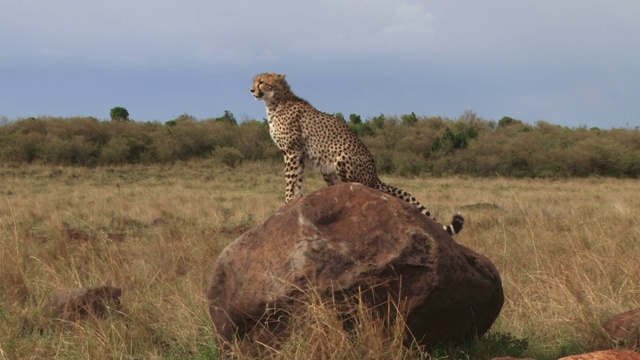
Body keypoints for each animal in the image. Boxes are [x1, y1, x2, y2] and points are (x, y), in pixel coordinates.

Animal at [251, 73, 464, 236]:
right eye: (255, 81)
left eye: (261, 81)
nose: (252, 90)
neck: (275, 102)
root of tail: (375, 175)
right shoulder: (298, 155)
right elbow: (297, 182)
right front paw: (294, 200)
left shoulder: (292, 152)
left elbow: (290, 180)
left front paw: (286, 202)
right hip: (327, 169)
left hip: (341, 157)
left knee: (354, 186)